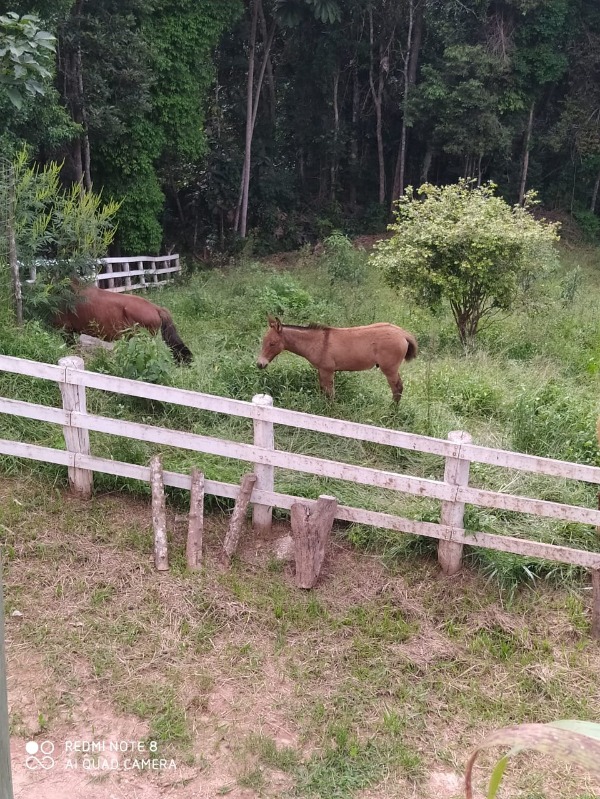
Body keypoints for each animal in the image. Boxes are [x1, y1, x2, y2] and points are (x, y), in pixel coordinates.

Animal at [258, 312, 418, 400]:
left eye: (272, 343)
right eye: (263, 341)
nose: (259, 364)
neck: (318, 342)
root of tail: (402, 333)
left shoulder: (327, 371)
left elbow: (330, 394)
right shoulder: (321, 370)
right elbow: (322, 390)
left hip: (390, 369)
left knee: (397, 390)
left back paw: (392, 414)